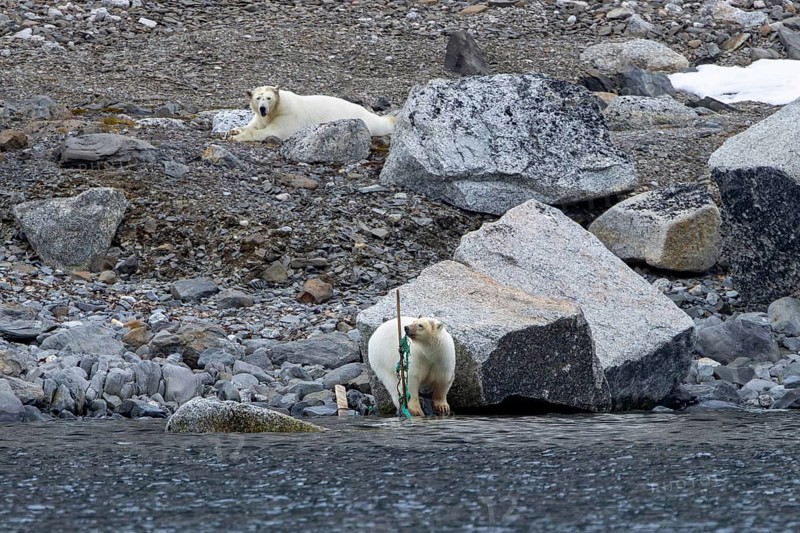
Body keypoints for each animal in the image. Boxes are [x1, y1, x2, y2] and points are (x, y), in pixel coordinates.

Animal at [229, 85, 396, 142]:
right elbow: (255, 125)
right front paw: (234, 130)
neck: (277, 108)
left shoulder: (287, 116)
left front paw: (236, 137)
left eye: (268, 98)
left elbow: (274, 131)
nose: (263, 108)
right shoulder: (261, 117)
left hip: (368, 122)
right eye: (258, 98)